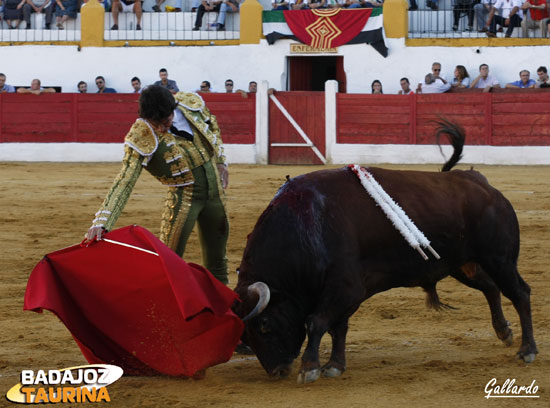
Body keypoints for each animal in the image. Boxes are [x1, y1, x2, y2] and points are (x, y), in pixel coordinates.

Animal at [233, 119, 540, 384]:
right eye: (244, 335)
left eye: (264, 325)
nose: (277, 371)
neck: (306, 226)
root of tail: (482, 183)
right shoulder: (346, 293)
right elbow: (337, 326)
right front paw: (335, 365)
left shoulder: (345, 287)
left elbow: (316, 322)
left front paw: (309, 368)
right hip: (462, 265)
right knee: (491, 288)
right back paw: (504, 332)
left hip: (500, 259)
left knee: (520, 293)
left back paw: (527, 350)